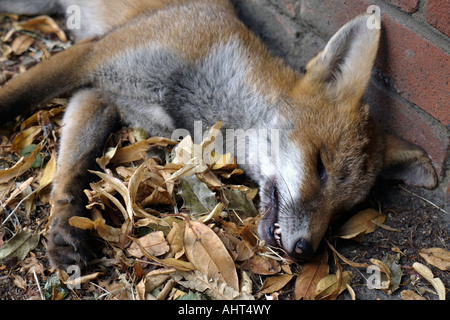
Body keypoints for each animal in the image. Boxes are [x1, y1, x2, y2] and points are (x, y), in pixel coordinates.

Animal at [0, 0, 436, 268]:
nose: (304, 250)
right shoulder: (94, 56)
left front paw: (64, 231)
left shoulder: (99, 95)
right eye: (321, 167)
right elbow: (13, 98)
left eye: (343, 209)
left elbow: (72, 172)